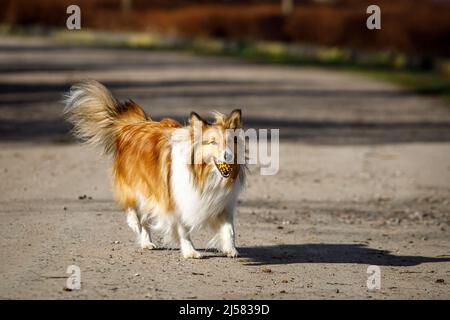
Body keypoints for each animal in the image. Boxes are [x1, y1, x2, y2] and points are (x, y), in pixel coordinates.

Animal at [63, 80, 244, 258]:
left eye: (230, 141)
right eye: (213, 142)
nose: (228, 156)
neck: (202, 174)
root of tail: (133, 125)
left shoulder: (222, 202)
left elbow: (230, 229)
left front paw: (230, 249)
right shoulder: (175, 200)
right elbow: (183, 230)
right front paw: (190, 251)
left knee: (145, 218)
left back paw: (146, 242)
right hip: (137, 186)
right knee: (134, 211)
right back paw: (135, 226)